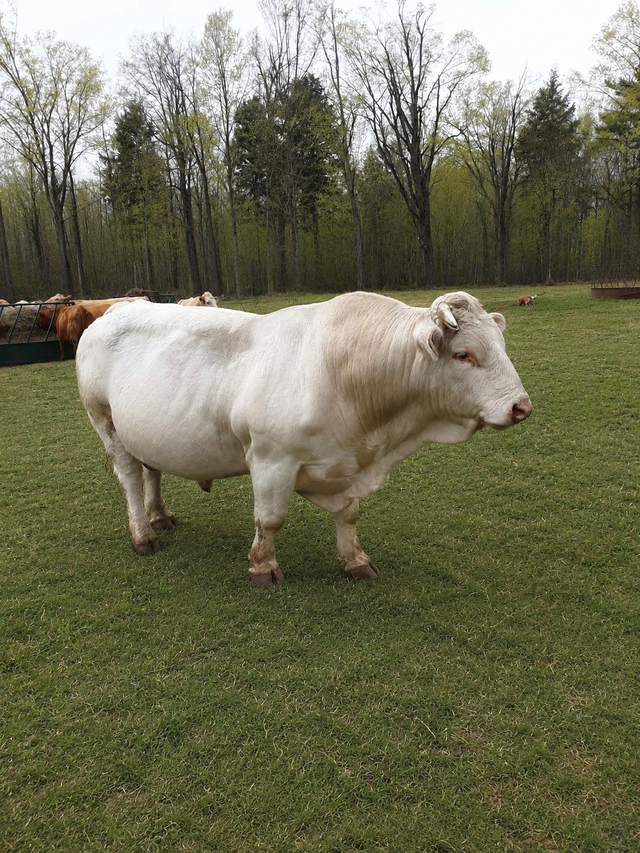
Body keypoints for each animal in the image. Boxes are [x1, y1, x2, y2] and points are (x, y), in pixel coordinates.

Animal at [76, 291, 532, 585]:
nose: (521, 407)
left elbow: (349, 513)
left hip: (144, 431)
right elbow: (270, 519)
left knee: (151, 471)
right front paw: (263, 566)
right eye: (464, 354)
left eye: (501, 345)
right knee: (131, 479)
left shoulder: (344, 463)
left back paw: (160, 515)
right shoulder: (271, 459)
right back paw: (143, 535)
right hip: (106, 423)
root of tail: (115, 310)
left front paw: (355, 559)